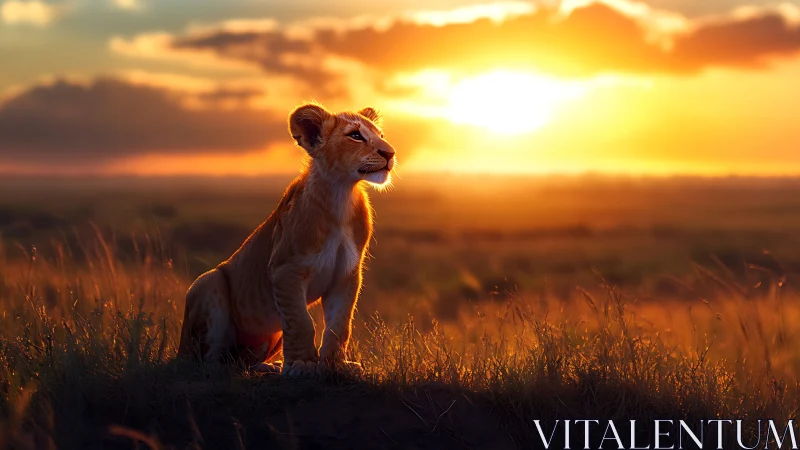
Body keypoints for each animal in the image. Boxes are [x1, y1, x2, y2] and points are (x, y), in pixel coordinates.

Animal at [177, 102, 395, 377]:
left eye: (381, 135)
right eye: (355, 135)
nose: (391, 153)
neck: (341, 197)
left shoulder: (346, 274)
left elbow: (339, 324)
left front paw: (336, 365)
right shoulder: (285, 270)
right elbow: (301, 322)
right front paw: (303, 364)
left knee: (240, 361)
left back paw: (270, 366)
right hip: (207, 282)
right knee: (207, 360)